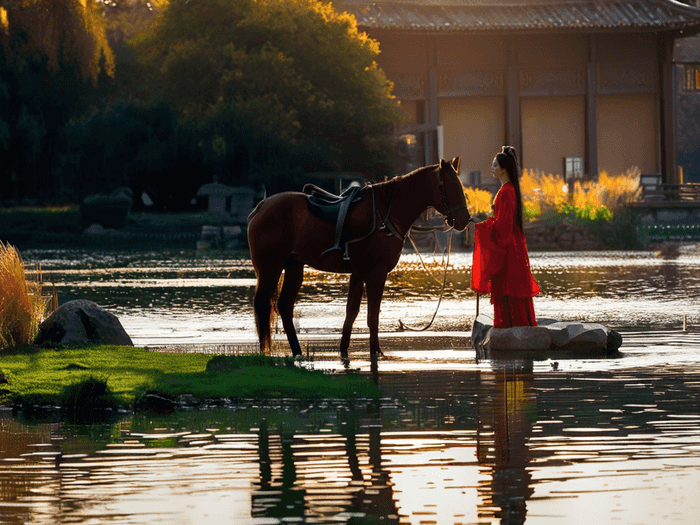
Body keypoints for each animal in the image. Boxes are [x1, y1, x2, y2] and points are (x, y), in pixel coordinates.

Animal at [249, 156, 474, 358]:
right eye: (451, 187)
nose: (465, 219)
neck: (386, 212)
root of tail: (260, 208)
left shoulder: (358, 273)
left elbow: (352, 313)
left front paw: (344, 351)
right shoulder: (377, 273)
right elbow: (372, 315)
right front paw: (375, 351)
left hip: (294, 266)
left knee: (284, 306)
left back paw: (297, 351)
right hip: (270, 268)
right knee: (262, 304)